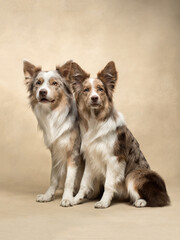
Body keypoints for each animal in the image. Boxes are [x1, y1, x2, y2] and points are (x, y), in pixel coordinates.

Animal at [22, 60, 83, 206]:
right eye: (38, 83)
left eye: (55, 83)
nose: (42, 92)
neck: (53, 114)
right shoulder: (56, 151)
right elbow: (53, 177)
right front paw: (48, 196)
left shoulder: (73, 152)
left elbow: (69, 180)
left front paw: (67, 198)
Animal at [68, 61, 170, 208]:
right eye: (86, 90)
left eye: (100, 89)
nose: (94, 98)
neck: (96, 121)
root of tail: (163, 191)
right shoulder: (91, 158)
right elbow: (84, 183)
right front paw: (75, 199)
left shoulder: (115, 159)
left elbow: (108, 184)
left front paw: (104, 202)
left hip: (135, 174)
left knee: (155, 198)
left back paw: (140, 201)